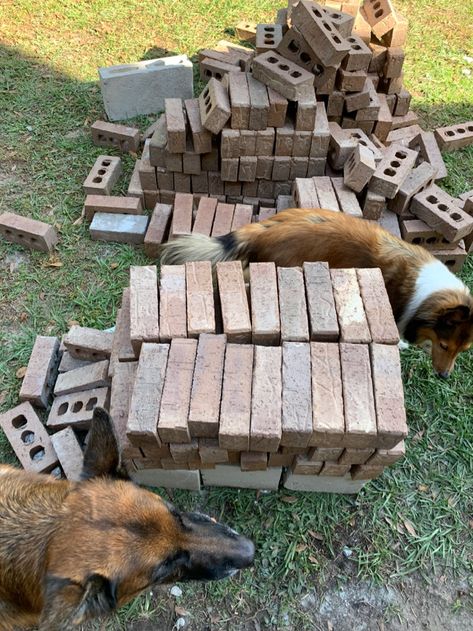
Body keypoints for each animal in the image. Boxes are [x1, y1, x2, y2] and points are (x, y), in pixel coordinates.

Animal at [159, 207, 472, 378]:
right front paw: (402, 345)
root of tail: (261, 231)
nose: (444, 376)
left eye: (463, 350)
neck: (425, 290)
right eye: (444, 345)